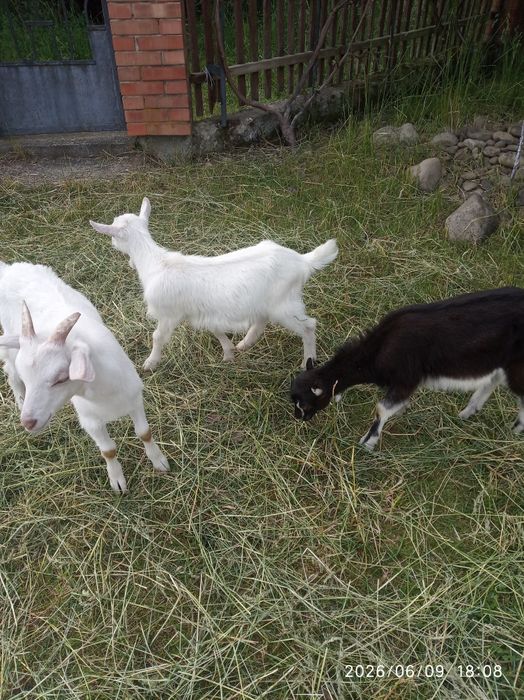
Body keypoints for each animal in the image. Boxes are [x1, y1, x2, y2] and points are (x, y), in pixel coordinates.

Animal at [0, 261, 169, 493]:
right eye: (28, 378)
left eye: (61, 378)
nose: (28, 422)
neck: (104, 393)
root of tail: (9, 268)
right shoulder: (90, 420)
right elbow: (108, 450)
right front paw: (117, 481)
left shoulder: (134, 399)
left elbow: (144, 432)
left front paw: (159, 461)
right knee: (9, 371)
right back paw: (19, 399)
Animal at [89, 198, 338, 369]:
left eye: (113, 236)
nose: (113, 246)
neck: (156, 263)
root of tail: (302, 261)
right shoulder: (202, 311)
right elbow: (215, 329)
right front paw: (228, 353)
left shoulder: (168, 314)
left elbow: (157, 337)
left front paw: (150, 363)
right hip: (265, 302)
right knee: (260, 322)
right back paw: (244, 344)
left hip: (285, 304)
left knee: (309, 326)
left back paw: (307, 361)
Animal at [291, 287, 524, 450]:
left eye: (304, 403)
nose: (298, 418)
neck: (379, 348)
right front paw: (402, 410)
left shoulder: (407, 378)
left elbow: (381, 409)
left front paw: (367, 443)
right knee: (492, 380)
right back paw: (468, 412)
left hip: (517, 365)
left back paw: (514, 430)